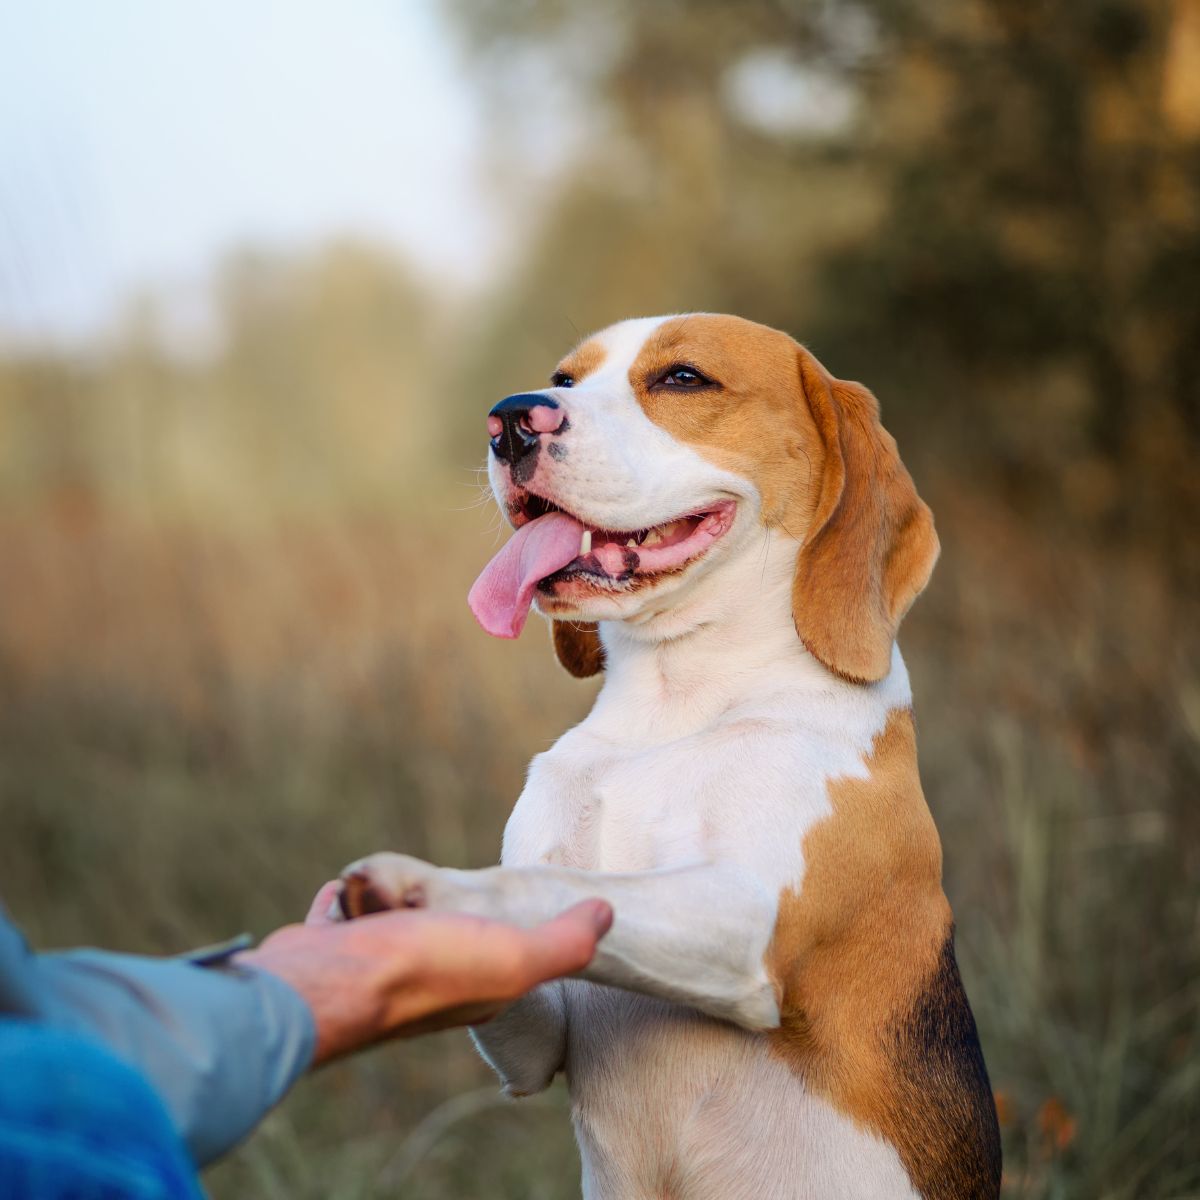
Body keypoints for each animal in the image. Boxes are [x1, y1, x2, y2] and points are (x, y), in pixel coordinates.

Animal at [338, 314, 1003, 1195]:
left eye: (684, 379)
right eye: (565, 377)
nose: (510, 419)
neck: (674, 703)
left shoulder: (743, 919)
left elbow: (551, 883)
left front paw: (428, 889)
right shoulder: (540, 1041)